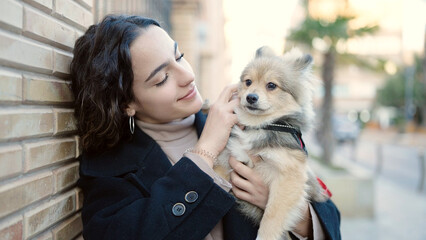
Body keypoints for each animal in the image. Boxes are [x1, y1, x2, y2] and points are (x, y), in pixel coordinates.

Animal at [216, 47, 330, 240]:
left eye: (271, 85)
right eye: (248, 82)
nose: (251, 97)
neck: (261, 125)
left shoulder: (288, 177)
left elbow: (272, 216)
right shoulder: (230, 158)